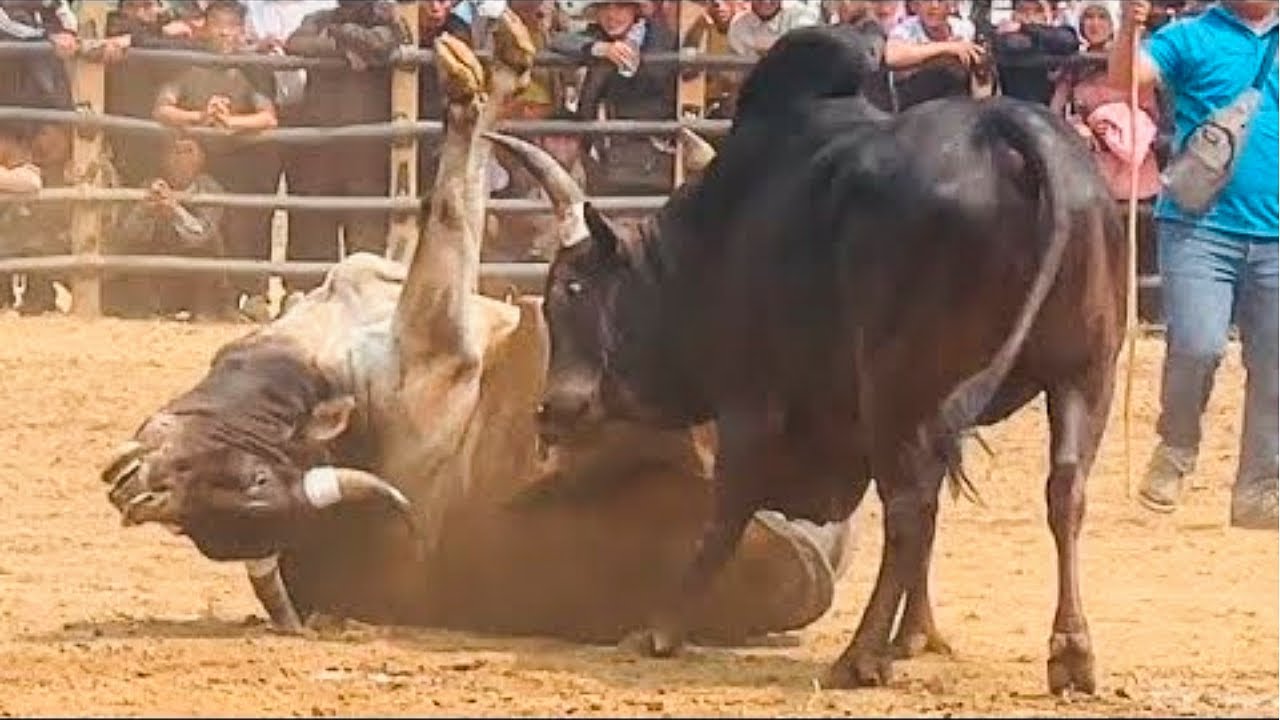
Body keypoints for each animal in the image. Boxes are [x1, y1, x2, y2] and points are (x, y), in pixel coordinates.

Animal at [496, 25, 1121, 691]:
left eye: (571, 289)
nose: (549, 411)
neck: (710, 240)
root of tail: (1007, 129)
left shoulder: (750, 401)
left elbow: (728, 510)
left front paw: (661, 628)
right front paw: (918, 635)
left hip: (897, 388)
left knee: (910, 506)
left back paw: (861, 653)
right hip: (1083, 375)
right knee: (1063, 490)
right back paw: (1070, 652)